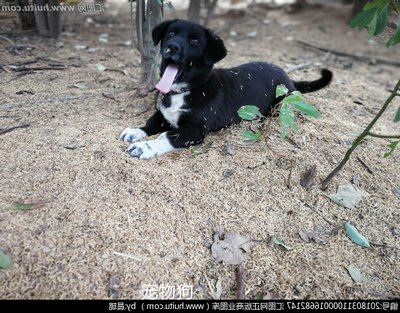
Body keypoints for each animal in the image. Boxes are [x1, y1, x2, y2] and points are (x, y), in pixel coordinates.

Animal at [120, 19, 332, 158]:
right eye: (171, 33)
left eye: (195, 41)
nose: (172, 46)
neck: (185, 90)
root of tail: (288, 77)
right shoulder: (164, 114)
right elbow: (152, 122)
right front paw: (136, 132)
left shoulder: (194, 130)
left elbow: (166, 136)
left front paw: (144, 147)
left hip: (278, 106)